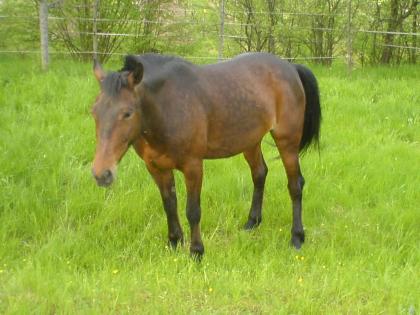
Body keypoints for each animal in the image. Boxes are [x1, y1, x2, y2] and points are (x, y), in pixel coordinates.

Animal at [91, 52, 322, 260]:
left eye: (127, 113)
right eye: (94, 111)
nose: (101, 174)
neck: (167, 106)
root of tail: (290, 67)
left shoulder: (193, 166)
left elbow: (192, 210)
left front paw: (196, 252)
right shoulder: (156, 167)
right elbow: (169, 205)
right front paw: (174, 242)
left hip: (287, 142)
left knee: (295, 185)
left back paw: (297, 237)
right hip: (250, 141)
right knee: (259, 174)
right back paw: (252, 223)